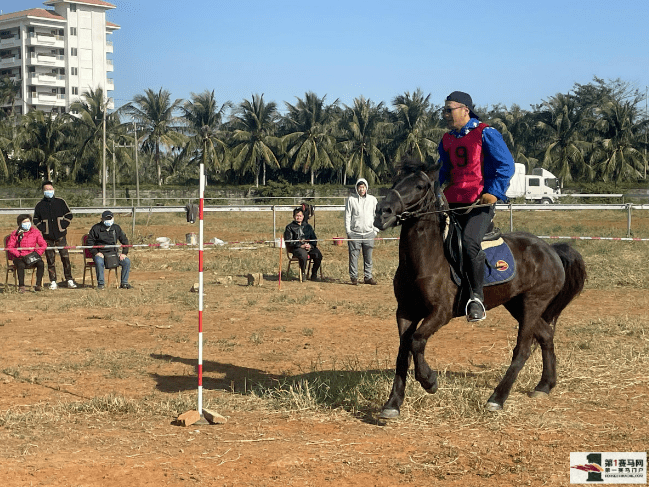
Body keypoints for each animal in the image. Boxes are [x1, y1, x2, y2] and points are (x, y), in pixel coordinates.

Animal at [372, 162, 584, 418]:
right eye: (395, 181)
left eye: (420, 185)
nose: (381, 212)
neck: (424, 260)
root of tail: (551, 249)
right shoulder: (405, 312)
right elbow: (403, 352)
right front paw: (393, 403)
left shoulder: (440, 313)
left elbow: (417, 341)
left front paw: (429, 381)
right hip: (517, 304)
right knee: (545, 335)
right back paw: (544, 385)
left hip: (534, 303)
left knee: (523, 349)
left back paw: (497, 398)